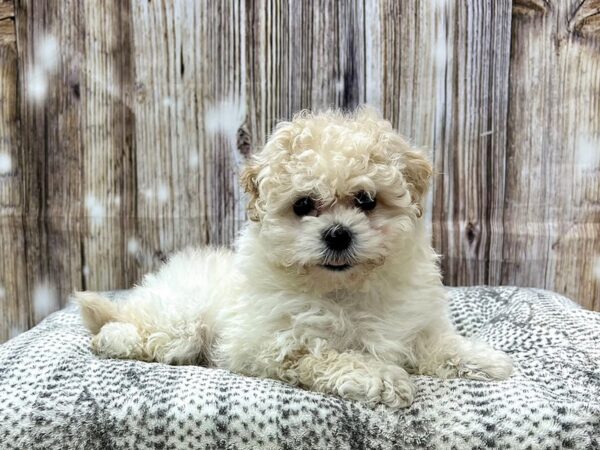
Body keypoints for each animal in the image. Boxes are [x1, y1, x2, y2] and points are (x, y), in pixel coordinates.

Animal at [75, 108, 512, 408]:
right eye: (304, 204)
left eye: (366, 200)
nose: (337, 234)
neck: (343, 289)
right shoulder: (276, 342)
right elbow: (329, 354)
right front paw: (382, 378)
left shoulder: (412, 323)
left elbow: (438, 342)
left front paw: (483, 359)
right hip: (179, 321)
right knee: (140, 331)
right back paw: (114, 336)